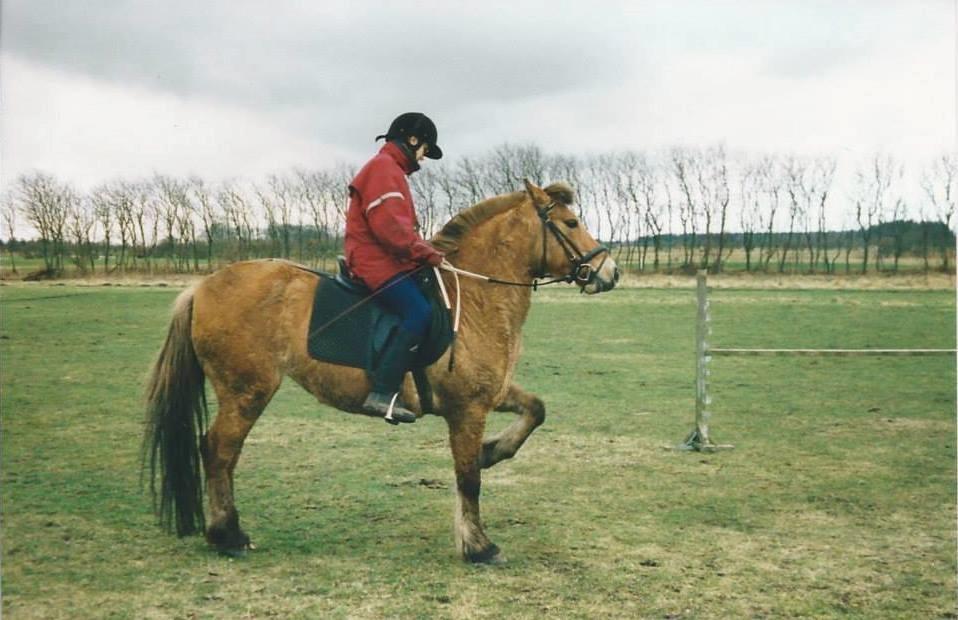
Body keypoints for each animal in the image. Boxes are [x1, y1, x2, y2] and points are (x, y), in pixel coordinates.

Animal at [142, 178, 624, 560]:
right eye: (570, 224)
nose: (611, 272)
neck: (475, 299)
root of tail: (203, 287)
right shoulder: (467, 408)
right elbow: (468, 478)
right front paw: (478, 546)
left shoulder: (492, 393)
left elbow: (535, 410)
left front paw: (493, 451)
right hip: (247, 391)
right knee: (219, 451)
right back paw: (228, 535)